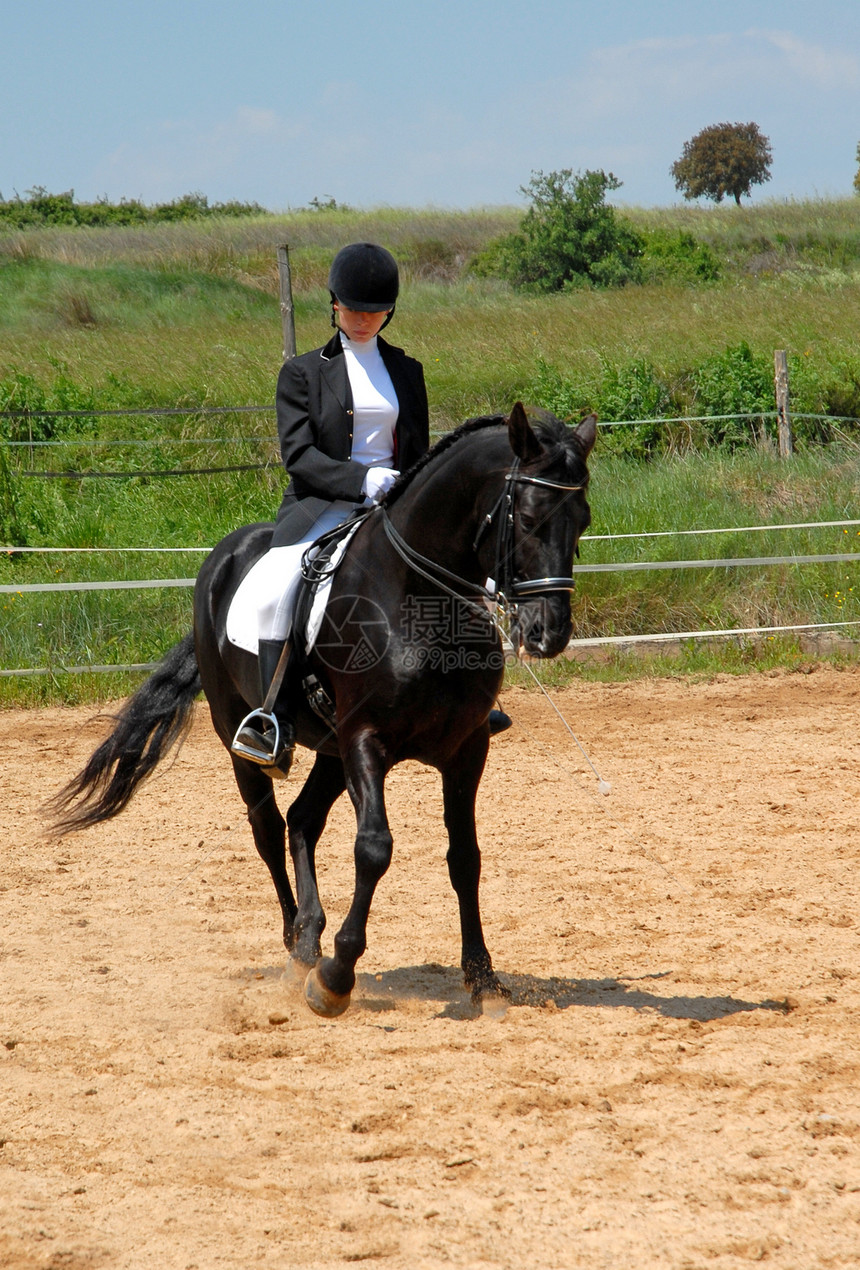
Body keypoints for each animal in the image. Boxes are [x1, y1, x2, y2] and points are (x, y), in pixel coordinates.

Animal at [52, 401, 589, 1016]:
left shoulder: (465, 748)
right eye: (527, 519)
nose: (548, 633)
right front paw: (336, 977)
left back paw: (309, 937)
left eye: (583, 521)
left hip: (331, 750)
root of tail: (223, 558)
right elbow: (374, 848)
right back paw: (297, 944)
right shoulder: (366, 739)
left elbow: (465, 858)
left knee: (302, 819)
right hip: (243, 735)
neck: (417, 598)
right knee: (266, 828)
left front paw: (483, 980)